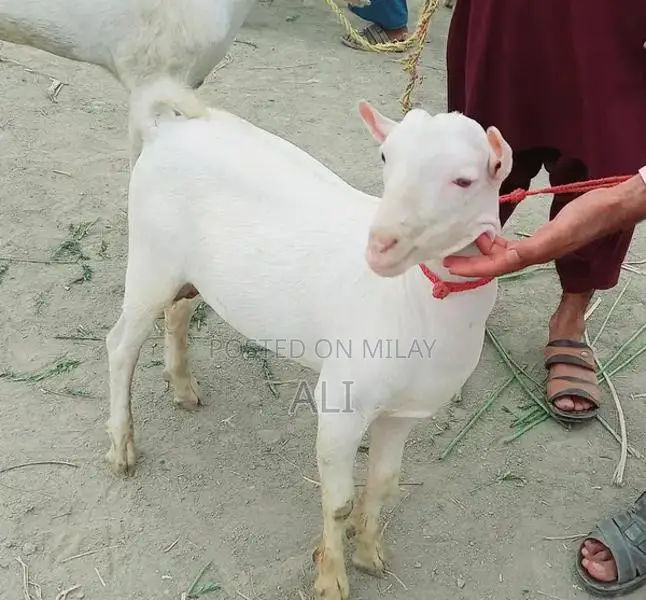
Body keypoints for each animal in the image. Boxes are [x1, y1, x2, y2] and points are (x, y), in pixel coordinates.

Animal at [104, 78, 512, 600]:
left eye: (464, 180)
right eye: (386, 158)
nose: (379, 245)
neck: (416, 300)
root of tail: (165, 129)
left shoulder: (406, 410)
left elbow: (384, 483)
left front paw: (369, 553)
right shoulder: (342, 400)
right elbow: (338, 503)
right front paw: (330, 578)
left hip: (191, 271)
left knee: (176, 312)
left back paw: (183, 388)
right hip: (151, 258)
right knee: (120, 345)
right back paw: (122, 447)